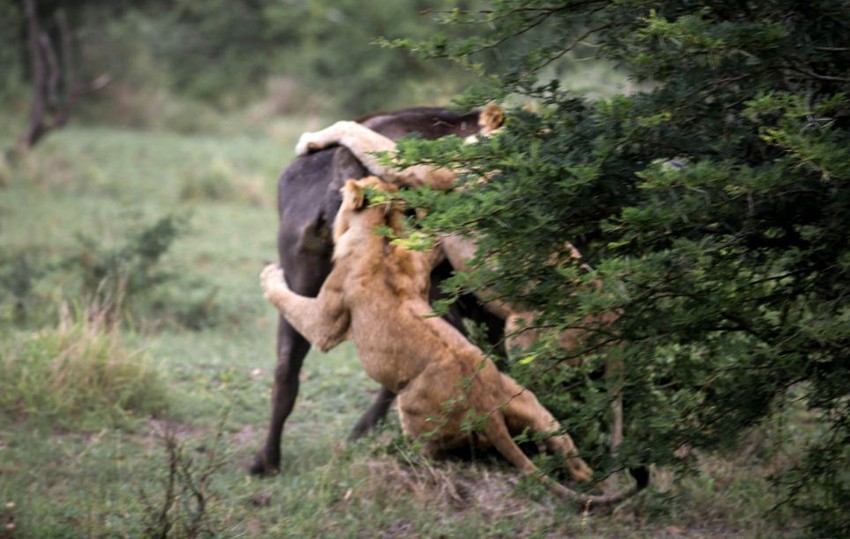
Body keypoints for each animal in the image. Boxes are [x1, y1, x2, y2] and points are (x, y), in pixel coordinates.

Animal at [258, 178, 644, 510]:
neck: (379, 235)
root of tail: (488, 410)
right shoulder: (421, 255)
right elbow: (429, 240)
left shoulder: (327, 319)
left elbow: (292, 304)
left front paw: (269, 273)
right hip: (531, 404)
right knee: (570, 453)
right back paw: (590, 477)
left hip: (416, 404)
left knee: (430, 455)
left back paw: (406, 462)